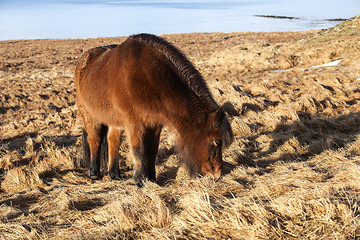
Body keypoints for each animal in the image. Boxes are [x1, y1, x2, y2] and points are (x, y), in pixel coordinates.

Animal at [74, 33, 235, 184]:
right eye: (217, 141)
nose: (217, 174)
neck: (149, 78)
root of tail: (84, 61)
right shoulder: (135, 125)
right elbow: (138, 151)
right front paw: (140, 180)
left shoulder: (155, 125)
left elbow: (152, 151)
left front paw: (151, 179)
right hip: (89, 116)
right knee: (94, 139)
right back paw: (94, 173)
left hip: (114, 120)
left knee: (113, 140)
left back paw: (114, 174)